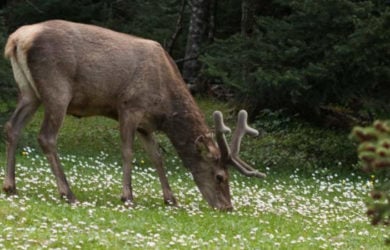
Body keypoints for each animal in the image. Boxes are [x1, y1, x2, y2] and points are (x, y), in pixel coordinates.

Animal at [2, 20, 266, 210]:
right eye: (220, 176)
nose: (227, 207)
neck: (165, 107)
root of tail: (16, 39)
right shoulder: (129, 106)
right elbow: (128, 152)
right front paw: (127, 196)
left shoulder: (146, 124)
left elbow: (157, 157)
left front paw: (171, 199)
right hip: (57, 89)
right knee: (46, 136)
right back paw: (68, 192)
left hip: (29, 92)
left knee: (11, 127)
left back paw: (10, 186)